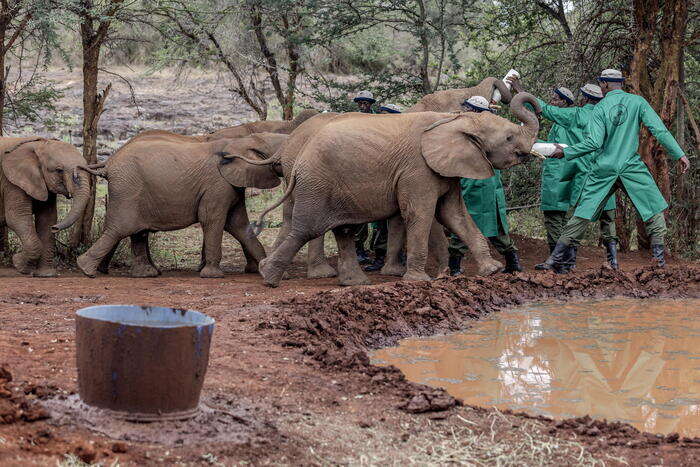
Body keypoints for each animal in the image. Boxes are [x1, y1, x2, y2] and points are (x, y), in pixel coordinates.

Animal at [0, 138, 91, 278]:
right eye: (59, 170)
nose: (55, 228)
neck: (39, 143)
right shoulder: (11, 182)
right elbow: (17, 218)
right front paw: (18, 263)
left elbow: (47, 219)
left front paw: (45, 275)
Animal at [75, 132, 286, 278]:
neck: (241, 141)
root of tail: (109, 163)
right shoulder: (216, 185)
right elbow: (213, 220)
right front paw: (213, 276)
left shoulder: (231, 186)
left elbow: (239, 225)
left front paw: (267, 271)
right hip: (127, 189)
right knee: (120, 228)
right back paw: (86, 270)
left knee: (137, 231)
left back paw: (146, 274)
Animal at [254, 93, 540, 288]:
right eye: (509, 138)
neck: (453, 120)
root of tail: (298, 157)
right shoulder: (417, 169)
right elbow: (421, 214)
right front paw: (419, 280)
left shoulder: (445, 169)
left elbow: (454, 215)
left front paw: (491, 271)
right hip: (317, 183)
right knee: (307, 228)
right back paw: (269, 276)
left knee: (343, 231)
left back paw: (354, 283)